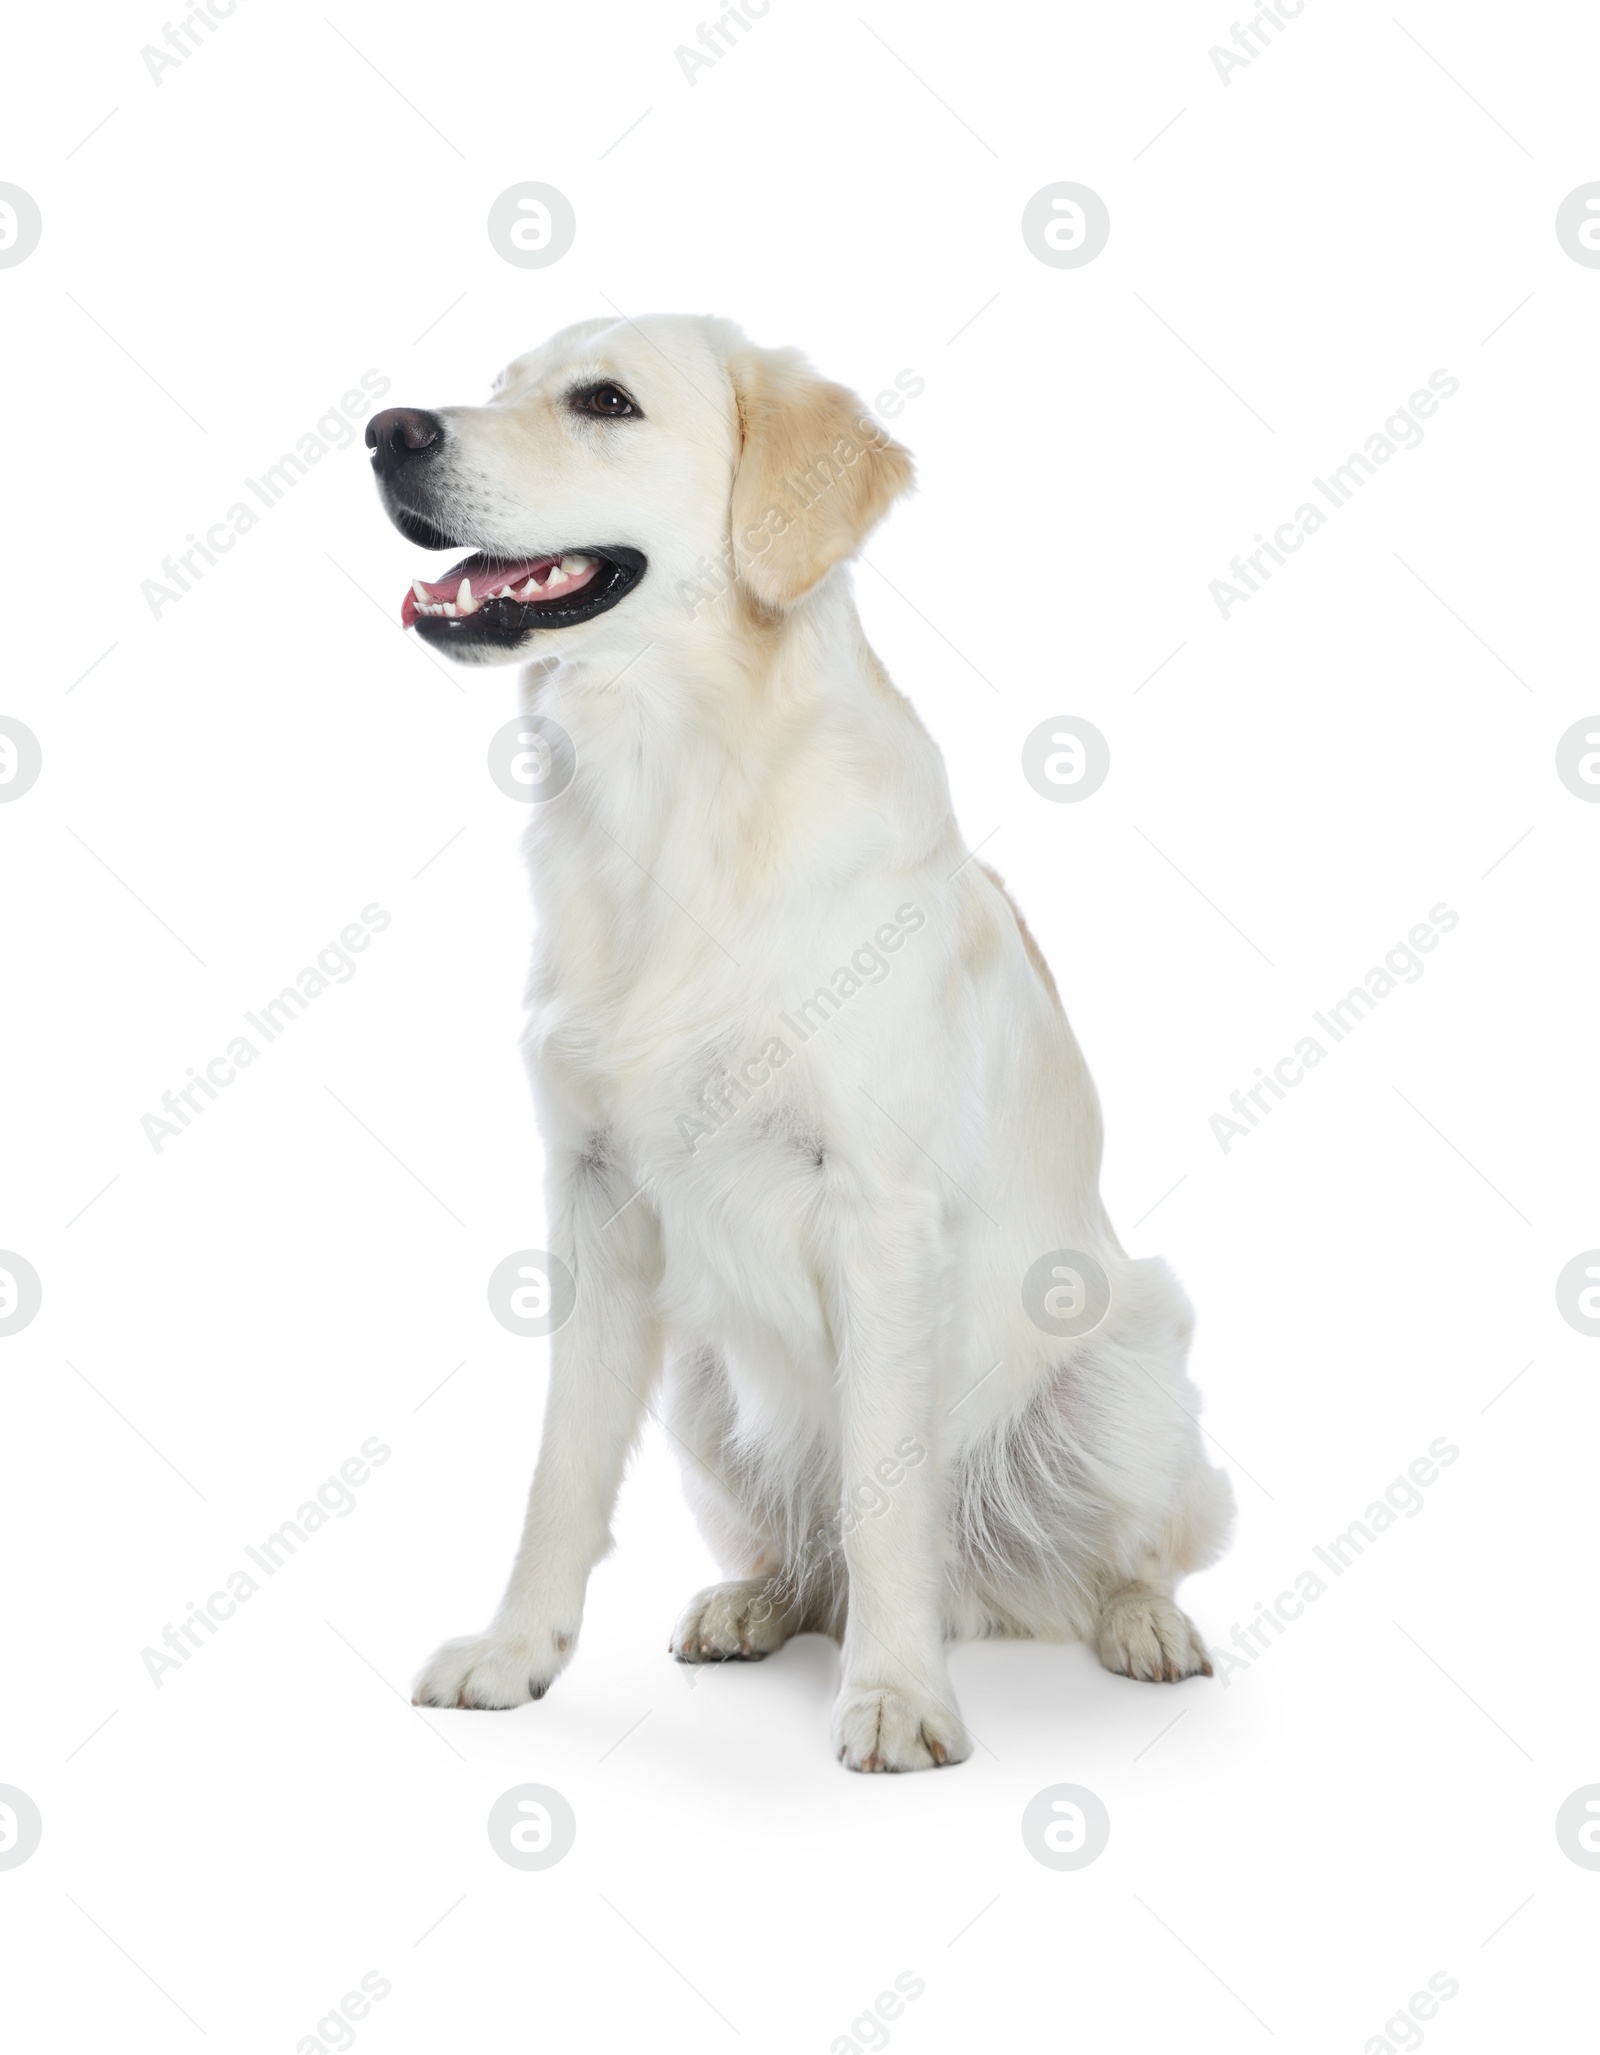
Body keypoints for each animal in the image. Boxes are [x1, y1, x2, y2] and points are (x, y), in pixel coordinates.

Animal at [369, 316, 1232, 1767]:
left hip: (1127, 1362)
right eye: (497, 386)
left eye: (605, 402)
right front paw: (515, 1650)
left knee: (1128, 1548)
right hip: (710, 1389)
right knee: (806, 1545)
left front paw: (894, 1697)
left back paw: (1137, 1626)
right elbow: (559, 1472)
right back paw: (753, 1602)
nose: (386, 432)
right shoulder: (595, 1200)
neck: (675, 785)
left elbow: (886, 1493)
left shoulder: (875, 1207)